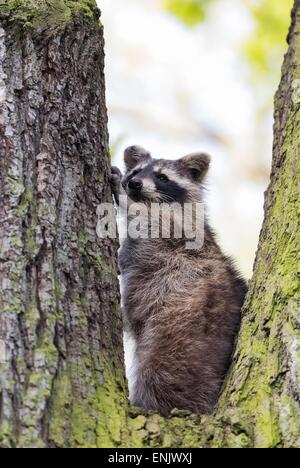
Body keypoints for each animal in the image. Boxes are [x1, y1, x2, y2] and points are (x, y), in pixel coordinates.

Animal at [110, 144, 246, 414]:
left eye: (162, 177)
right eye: (137, 171)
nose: (133, 184)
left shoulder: (179, 230)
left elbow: (151, 220)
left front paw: (125, 199)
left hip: (181, 322)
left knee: (163, 370)